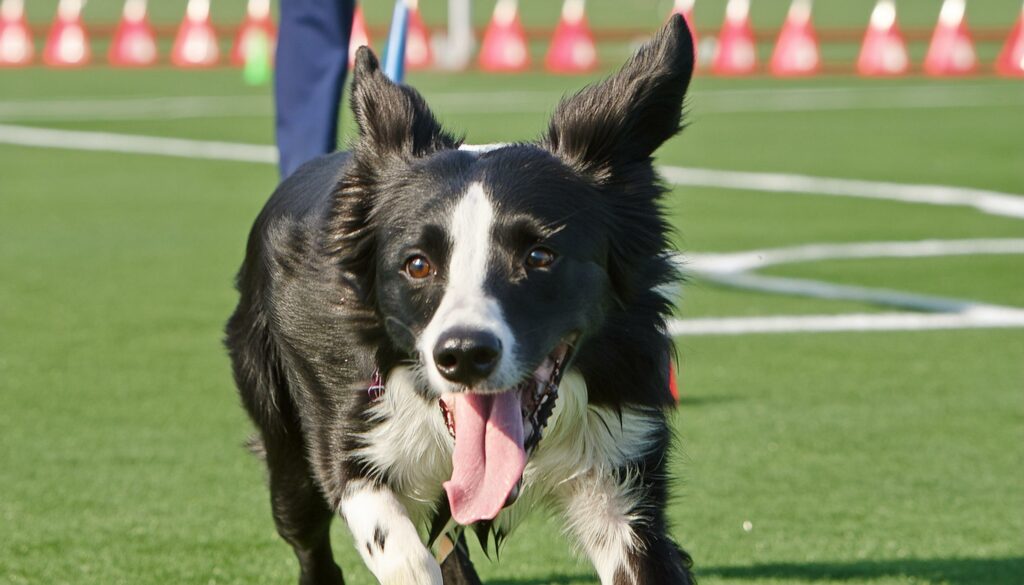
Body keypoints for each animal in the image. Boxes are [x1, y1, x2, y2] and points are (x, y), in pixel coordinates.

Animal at [226, 14, 696, 585]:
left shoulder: (621, 466)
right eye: (417, 264)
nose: (464, 356)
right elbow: (402, 551)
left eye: (539, 255)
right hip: (285, 447)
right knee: (308, 534)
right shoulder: (351, 438)